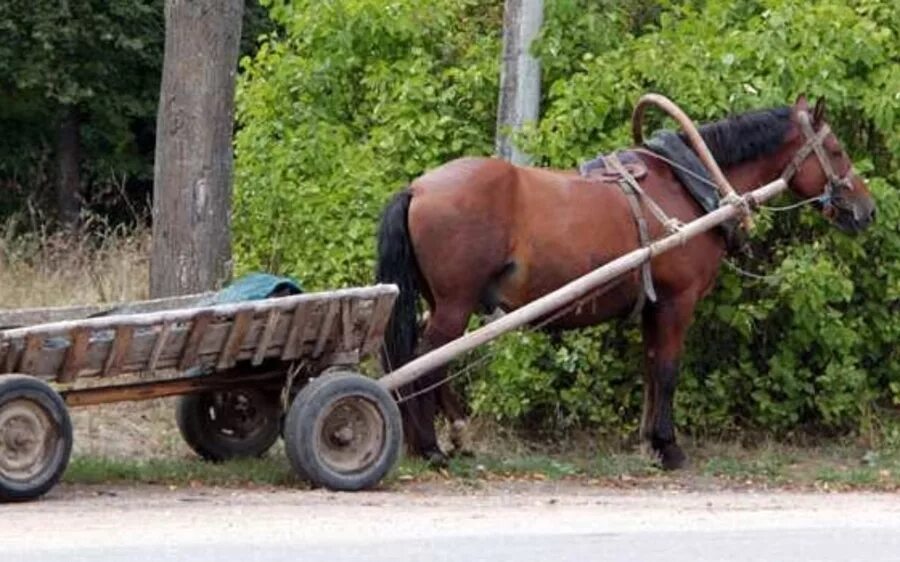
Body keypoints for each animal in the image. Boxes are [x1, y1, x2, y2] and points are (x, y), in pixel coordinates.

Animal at [376, 96, 876, 468]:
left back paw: (452, 436)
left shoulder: (654, 305)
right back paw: (430, 447)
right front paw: (670, 448)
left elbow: (652, 368)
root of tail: (418, 188)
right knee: (422, 360)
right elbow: (669, 370)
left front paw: (650, 441)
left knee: (428, 359)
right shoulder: (677, 301)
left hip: (441, 303)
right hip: (455, 304)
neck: (689, 184)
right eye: (835, 150)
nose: (866, 210)